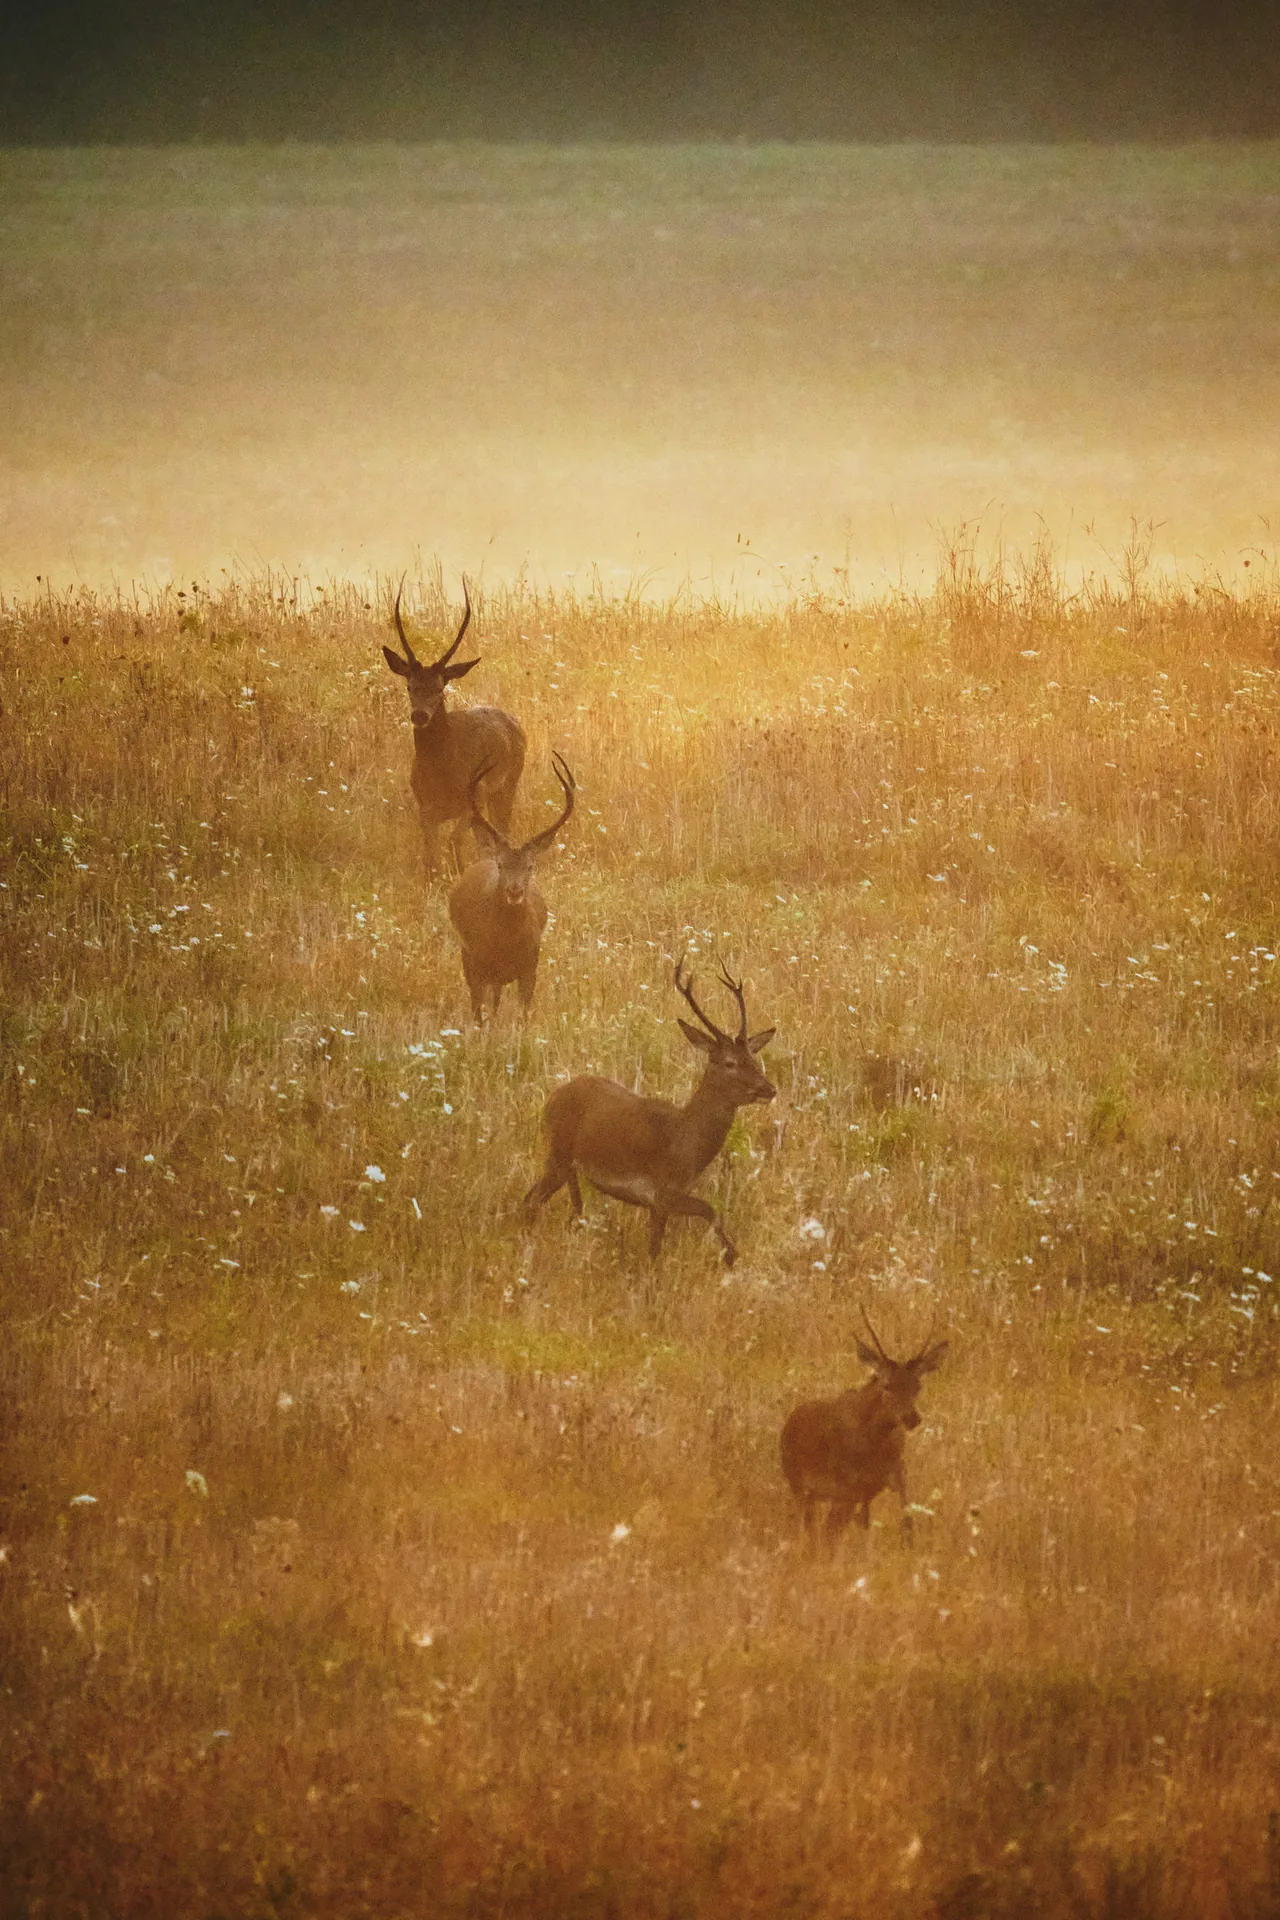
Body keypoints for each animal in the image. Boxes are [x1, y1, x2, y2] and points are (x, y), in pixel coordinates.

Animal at [381, 577, 526, 876]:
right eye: (409, 686)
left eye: (440, 688)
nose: (419, 715)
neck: (441, 772)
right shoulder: (424, 806)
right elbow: (431, 854)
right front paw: (434, 877)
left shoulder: (475, 797)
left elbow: (454, 840)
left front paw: (458, 873)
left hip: (509, 783)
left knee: (502, 831)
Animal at [447, 752, 576, 1021]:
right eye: (501, 864)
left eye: (530, 866)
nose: (514, 891)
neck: (505, 943)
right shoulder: (477, 964)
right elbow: (478, 1014)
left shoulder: (530, 966)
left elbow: (524, 1016)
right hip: (468, 957)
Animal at [523, 957, 776, 1267]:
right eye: (729, 1062)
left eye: (753, 1057)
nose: (769, 1089)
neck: (688, 1142)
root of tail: (552, 1098)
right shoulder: (661, 1195)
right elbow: (666, 1242)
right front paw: (728, 1256)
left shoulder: (669, 1196)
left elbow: (706, 1213)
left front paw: (731, 1255)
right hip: (558, 1155)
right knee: (531, 1200)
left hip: (567, 1165)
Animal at [780, 1311, 948, 1550]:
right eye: (887, 1385)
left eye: (918, 1386)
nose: (912, 1418)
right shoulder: (847, 1486)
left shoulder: (891, 1477)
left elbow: (906, 1520)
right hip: (799, 1484)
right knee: (816, 1529)